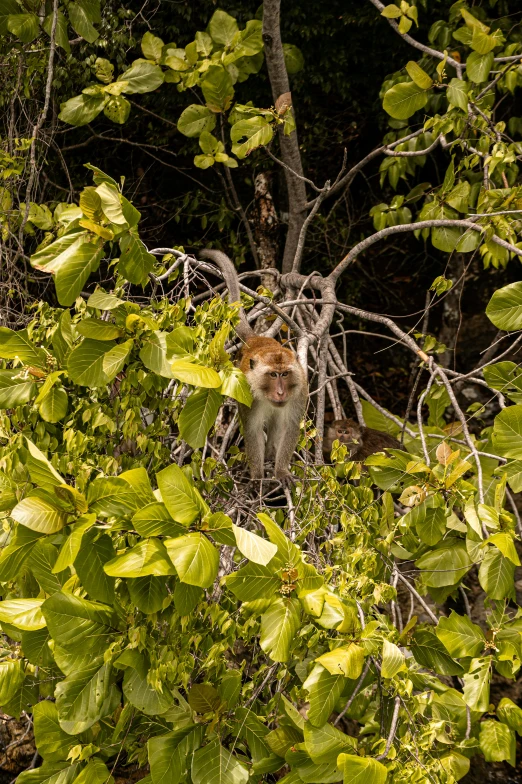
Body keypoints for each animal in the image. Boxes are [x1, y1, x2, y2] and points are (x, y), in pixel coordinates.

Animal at [198, 251, 304, 484]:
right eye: (272, 375)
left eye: (285, 374)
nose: (281, 392)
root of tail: (256, 339)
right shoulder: (246, 392)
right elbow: (252, 429)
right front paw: (257, 476)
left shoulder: (300, 391)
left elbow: (289, 427)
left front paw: (281, 471)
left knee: (276, 422)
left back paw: (271, 456)